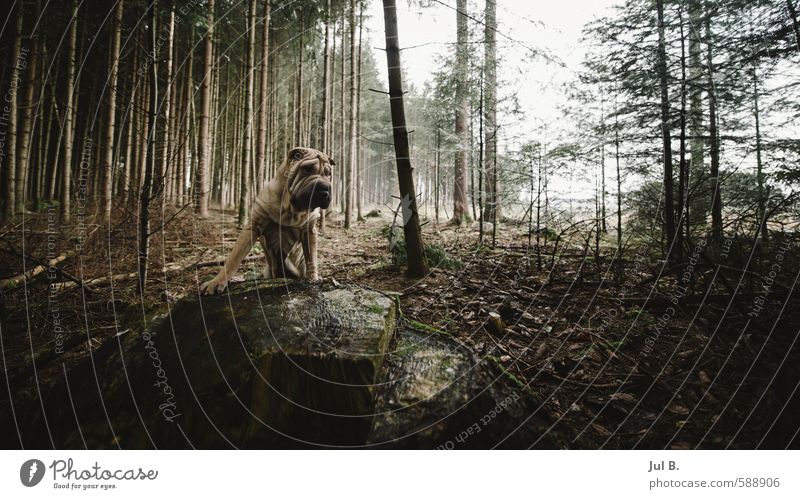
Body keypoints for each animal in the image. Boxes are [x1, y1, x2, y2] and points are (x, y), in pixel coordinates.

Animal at [203, 145, 338, 294]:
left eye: (328, 174)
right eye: (307, 169)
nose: (325, 188)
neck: (290, 208)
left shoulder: (309, 230)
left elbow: (311, 258)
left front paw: (313, 278)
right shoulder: (253, 226)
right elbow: (234, 257)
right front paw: (217, 281)